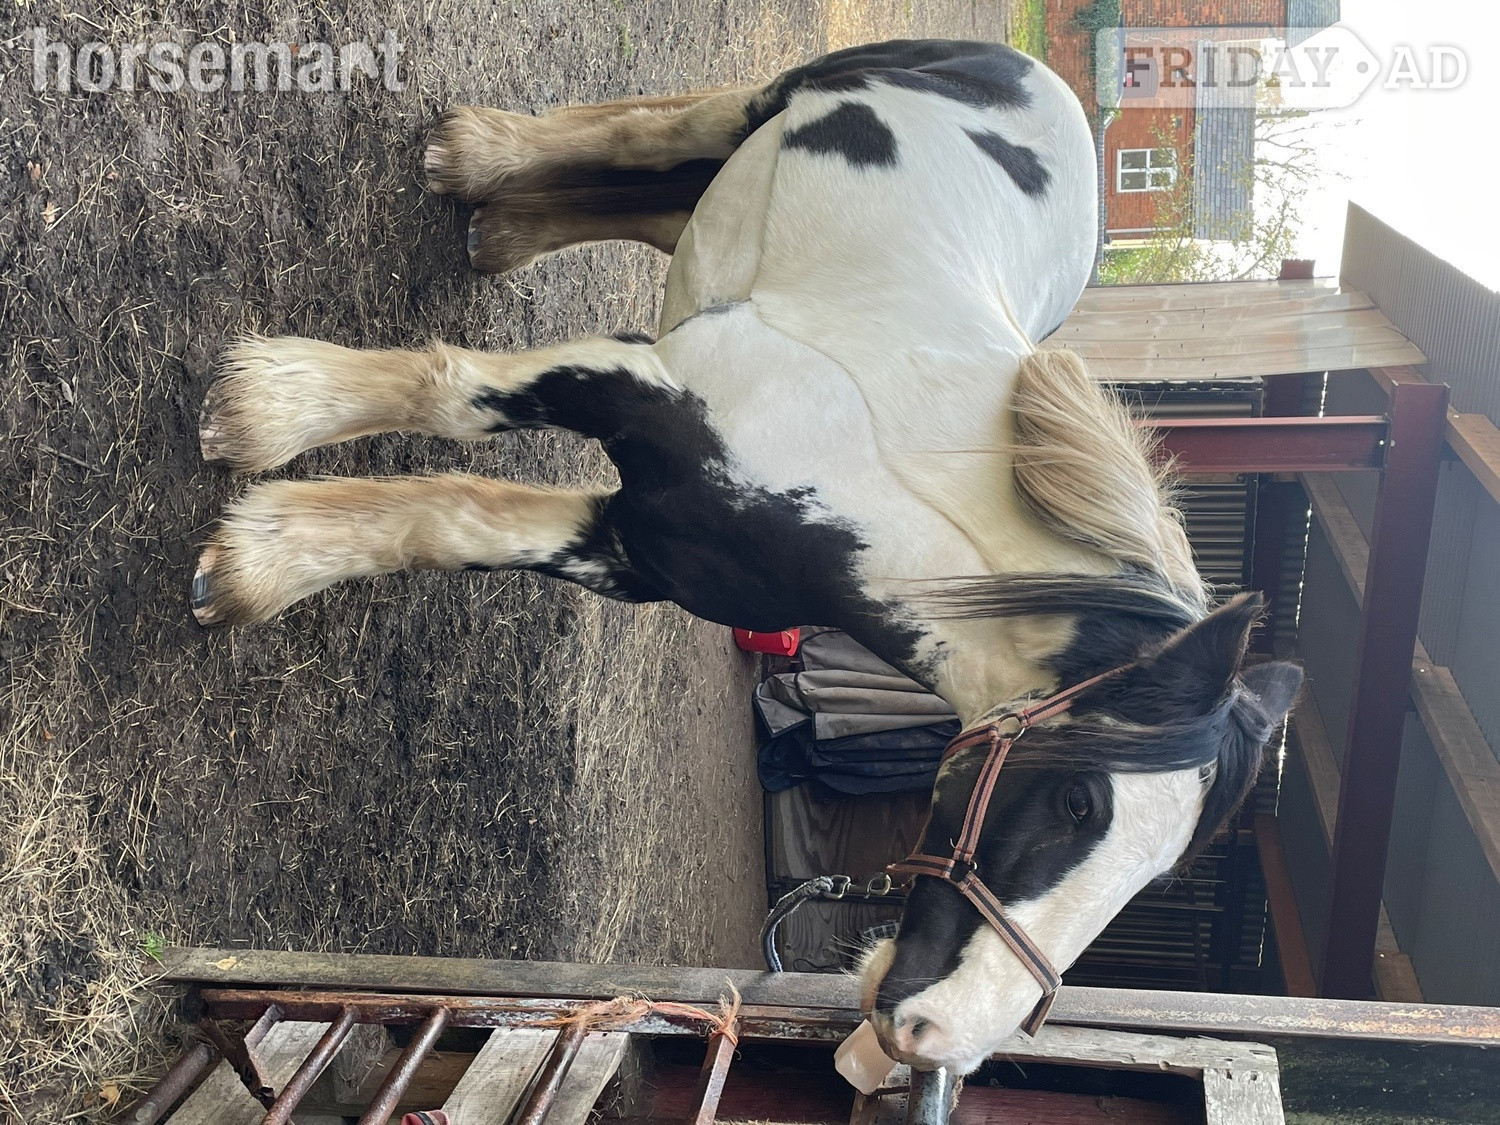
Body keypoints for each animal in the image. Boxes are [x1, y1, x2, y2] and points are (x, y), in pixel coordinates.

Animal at [190, 40, 1303, 1074]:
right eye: (1081, 801)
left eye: (1159, 876)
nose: (937, 1039)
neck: (869, 483)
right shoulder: (634, 383)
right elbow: (457, 401)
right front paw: (265, 412)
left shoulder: (639, 550)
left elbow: (457, 525)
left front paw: (257, 562)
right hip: (774, 98)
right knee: (651, 134)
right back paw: (471, 156)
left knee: (656, 201)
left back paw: (494, 226)